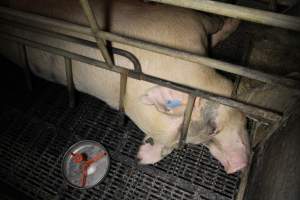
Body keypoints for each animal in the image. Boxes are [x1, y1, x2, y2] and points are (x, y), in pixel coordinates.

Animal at [0, 0, 248, 173]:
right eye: (213, 130)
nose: (236, 167)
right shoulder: (187, 19)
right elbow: (214, 24)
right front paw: (142, 156)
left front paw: (141, 155)